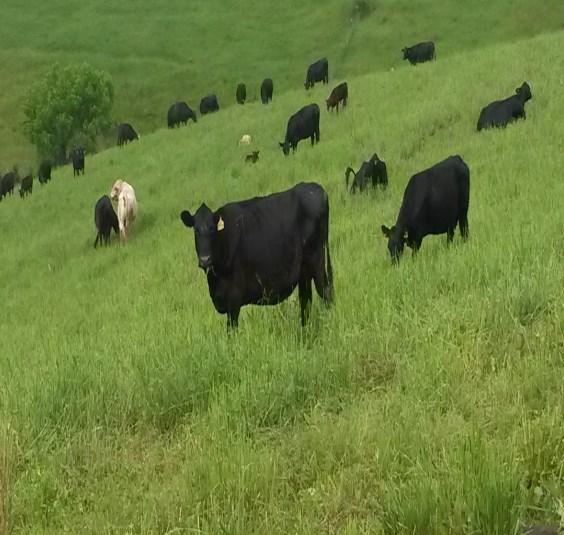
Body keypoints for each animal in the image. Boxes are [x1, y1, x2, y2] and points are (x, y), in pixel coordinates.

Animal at [178, 182, 332, 328]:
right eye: (196, 230)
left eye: (212, 229)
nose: (205, 259)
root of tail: (317, 189)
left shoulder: (234, 298)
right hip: (304, 272)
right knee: (305, 301)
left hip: (317, 261)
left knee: (325, 292)